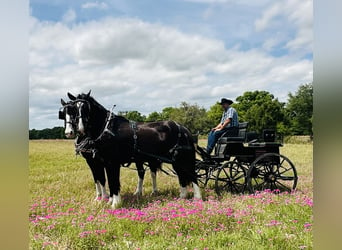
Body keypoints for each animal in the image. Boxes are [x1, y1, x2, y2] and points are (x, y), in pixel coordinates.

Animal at [69, 91, 203, 208]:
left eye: (86, 107)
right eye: (73, 108)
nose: (79, 128)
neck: (107, 130)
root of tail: (184, 129)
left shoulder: (112, 163)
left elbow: (113, 182)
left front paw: (115, 204)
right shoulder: (103, 162)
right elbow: (107, 181)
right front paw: (109, 201)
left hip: (185, 158)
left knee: (192, 174)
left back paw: (197, 198)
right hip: (176, 160)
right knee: (182, 176)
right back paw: (182, 197)